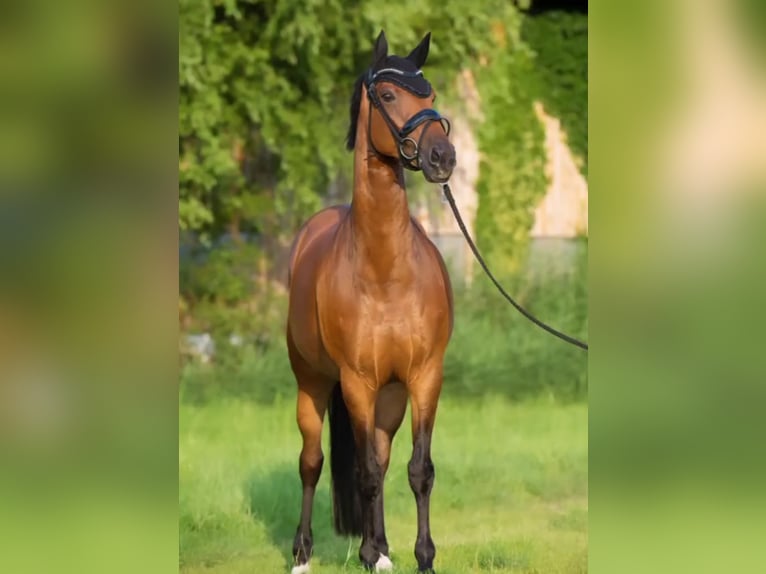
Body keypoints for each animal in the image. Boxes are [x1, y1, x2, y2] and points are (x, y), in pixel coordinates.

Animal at [286, 31, 456, 574]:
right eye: (386, 95)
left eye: (430, 93)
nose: (443, 157)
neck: (385, 274)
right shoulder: (357, 382)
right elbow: (358, 473)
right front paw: (365, 553)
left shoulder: (424, 378)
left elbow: (417, 470)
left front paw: (421, 557)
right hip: (313, 384)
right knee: (312, 462)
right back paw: (303, 554)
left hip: (391, 396)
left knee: (380, 461)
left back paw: (381, 549)